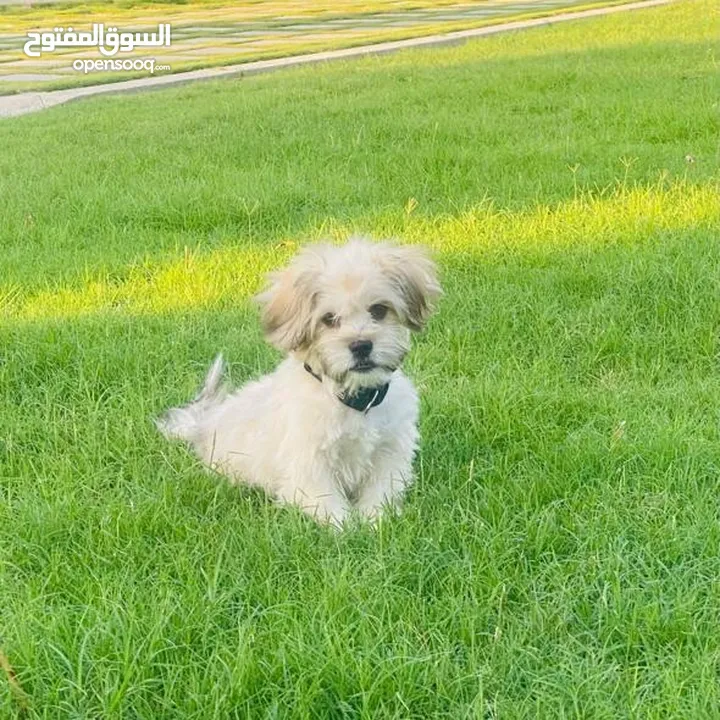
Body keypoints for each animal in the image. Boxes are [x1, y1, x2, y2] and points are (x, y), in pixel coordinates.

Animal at [156, 239, 438, 524]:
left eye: (379, 310)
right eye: (328, 319)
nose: (361, 346)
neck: (352, 398)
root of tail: (204, 423)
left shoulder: (390, 451)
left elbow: (381, 492)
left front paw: (375, 521)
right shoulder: (308, 467)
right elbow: (328, 505)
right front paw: (347, 528)